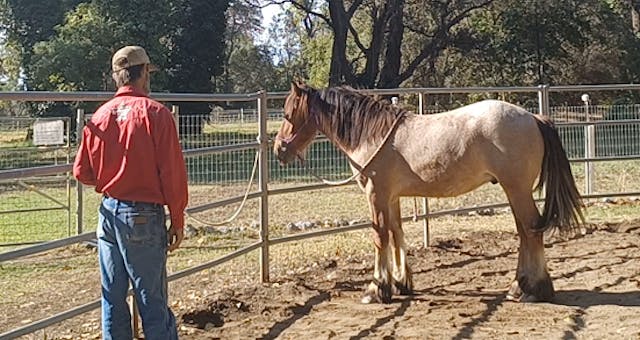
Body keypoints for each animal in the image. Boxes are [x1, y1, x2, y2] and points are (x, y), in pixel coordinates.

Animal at [272, 83, 584, 306]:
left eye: (288, 114)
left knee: (531, 230)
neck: (373, 135)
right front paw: (401, 283)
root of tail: (534, 117)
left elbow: (379, 237)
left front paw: (376, 289)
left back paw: (533, 290)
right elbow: (396, 233)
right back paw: (519, 287)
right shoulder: (391, 197)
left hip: (517, 189)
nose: (278, 150)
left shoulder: (376, 195)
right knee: (524, 232)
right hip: (515, 191)